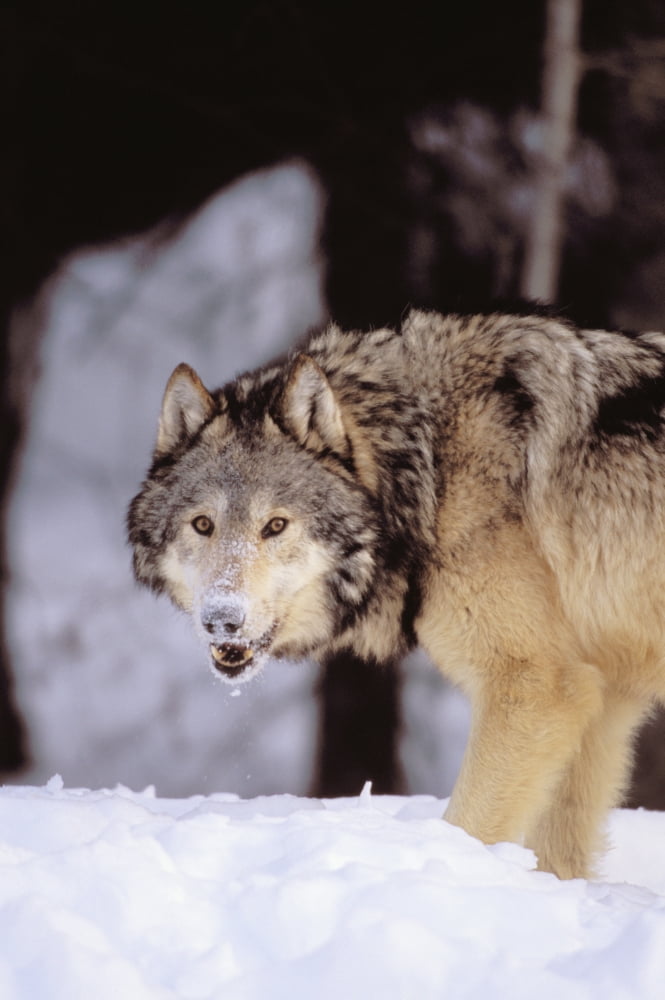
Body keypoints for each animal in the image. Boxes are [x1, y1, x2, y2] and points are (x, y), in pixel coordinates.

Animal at [128, 308, 665, 879]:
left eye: (275, 525)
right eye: (203, 524)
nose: (222, 619)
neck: (428, 465)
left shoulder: (534, 685)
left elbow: (466, 826)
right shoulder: (604, 698)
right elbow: (559, 855)